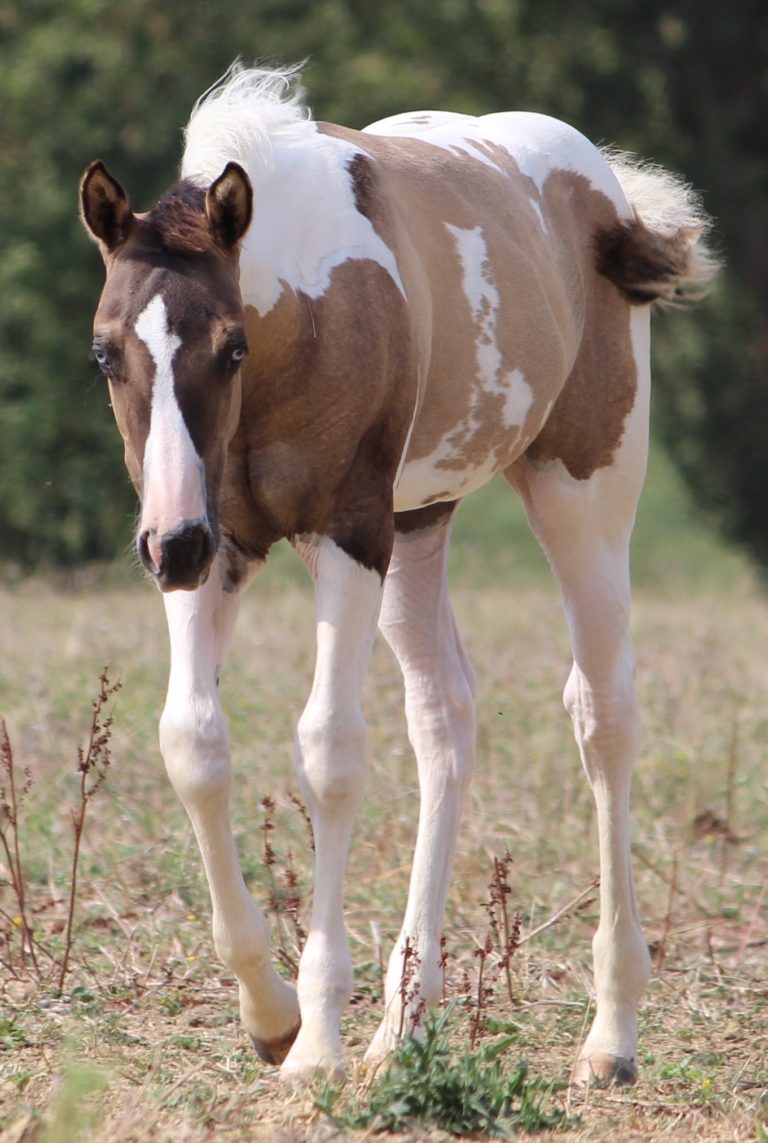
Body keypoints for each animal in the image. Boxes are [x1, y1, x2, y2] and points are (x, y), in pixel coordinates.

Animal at [80, 64, 717, 1086]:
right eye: (106, 352)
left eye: (230, 347)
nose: (167, 547)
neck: (306, 299)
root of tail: (606, 189)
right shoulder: (223, 545)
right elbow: (193, 743)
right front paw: (272, 1014)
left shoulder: (348, 535)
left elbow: (329, 752)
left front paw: (315, 1043)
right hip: (419, 525)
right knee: (444, 717)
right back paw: (405, 1020)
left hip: (583, 492)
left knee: (604, 712)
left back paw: (610, 1033)